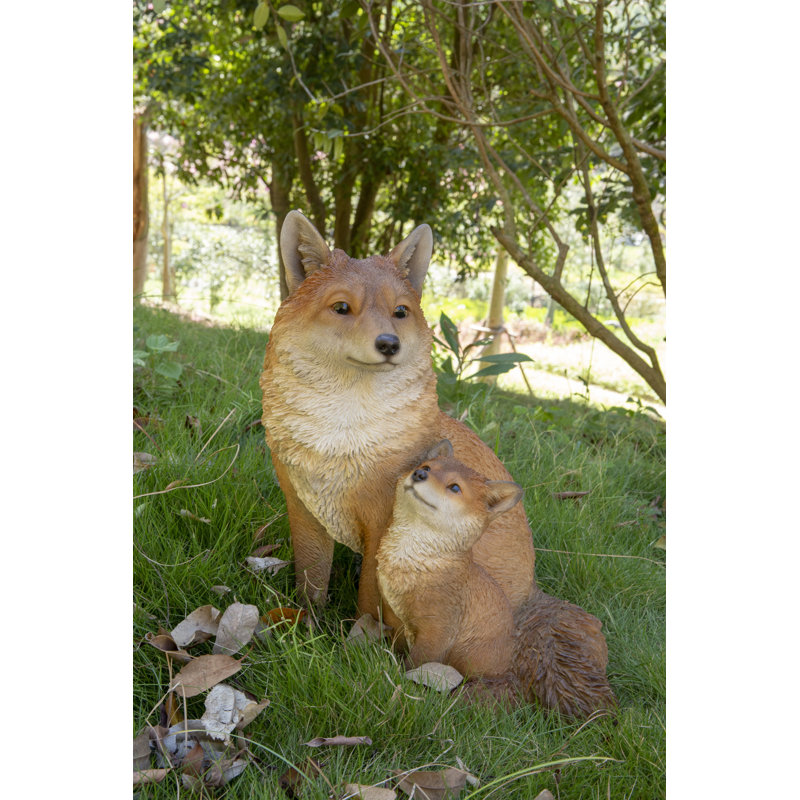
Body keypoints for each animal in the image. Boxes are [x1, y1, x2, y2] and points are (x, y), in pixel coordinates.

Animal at [260, 210, 536, 631]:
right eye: (342, 308)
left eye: (400, 312)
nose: (389, 344)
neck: (339, 439)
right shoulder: (304, 509)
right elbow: (311, 580)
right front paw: (306, 626)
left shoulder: (383, 523)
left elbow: (369, 598)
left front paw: (360, 638)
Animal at [377, 440, 617, 718]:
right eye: (426, 467)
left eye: (454, 487)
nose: (419, 475)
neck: (413, 564)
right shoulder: (393, 612)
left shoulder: (438, 629)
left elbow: (414, 662)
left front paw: (398, 679)